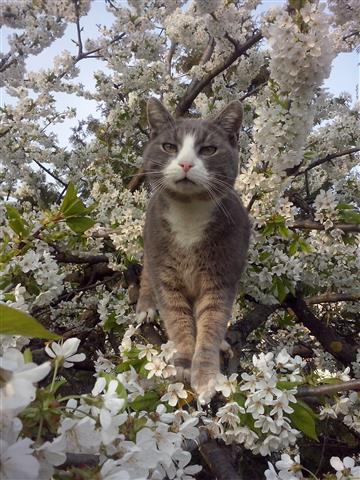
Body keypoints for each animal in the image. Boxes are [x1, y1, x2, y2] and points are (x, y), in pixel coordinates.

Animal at [136, 98, 252, 402]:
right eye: (169, 147)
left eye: (209, 150)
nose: (186, 163)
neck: (188, 216)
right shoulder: (165, 274)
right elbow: (177, 322)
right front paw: (183, 364)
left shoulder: (220, 277)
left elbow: (211, 323)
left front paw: (205, 376)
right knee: (146, 270)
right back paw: (145, 305)